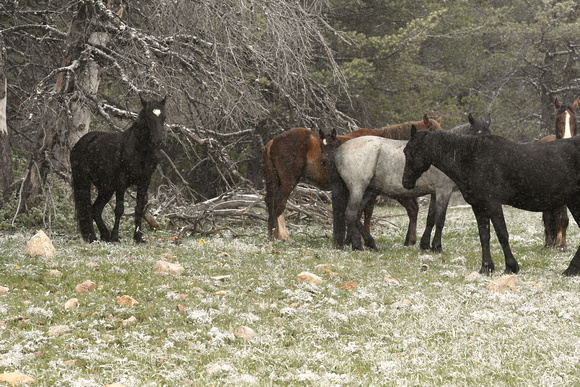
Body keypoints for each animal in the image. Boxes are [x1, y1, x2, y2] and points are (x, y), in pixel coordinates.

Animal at [69, 96, 168, 244]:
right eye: (148, 116)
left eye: (164, 117)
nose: (159, 141)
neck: (139, 151)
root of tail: (81, 142)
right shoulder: (121, 183)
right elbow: (119, 209)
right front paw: (115, 237)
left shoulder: (144, 182)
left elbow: (139, 209)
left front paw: (138, 237)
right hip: (83, 181)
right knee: (87, 207)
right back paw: (93, 237)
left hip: (106, 188)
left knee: (95, 209)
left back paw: (104, 235)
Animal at [260, 114, 442, 242]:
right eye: (432, 132)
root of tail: (273, 141)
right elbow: (365, 213)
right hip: (289, 181)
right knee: (279, 203)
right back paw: (284, 235)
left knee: (271, 203)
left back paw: (273, 234)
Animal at [320, 114, 492, 252]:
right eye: (478, 134)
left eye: (489, 134)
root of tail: (339, 150)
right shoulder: (444, 191)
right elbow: (440, 219)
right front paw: (437, 247)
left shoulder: (435, 193)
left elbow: (431, 218)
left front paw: (425, 245)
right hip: (358, 189)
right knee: (350, 214)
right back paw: (358, 245)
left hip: (367, 190)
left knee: (356, 215)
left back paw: (370, 243)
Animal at [404, 124, 580, 276]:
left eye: (408, 151)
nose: (405, 182)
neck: (472, 158)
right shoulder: (479, 206)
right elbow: (484, 236)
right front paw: (486, 267)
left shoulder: (493, 204)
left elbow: (502, 234)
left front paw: (511, 267)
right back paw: (571, 270)